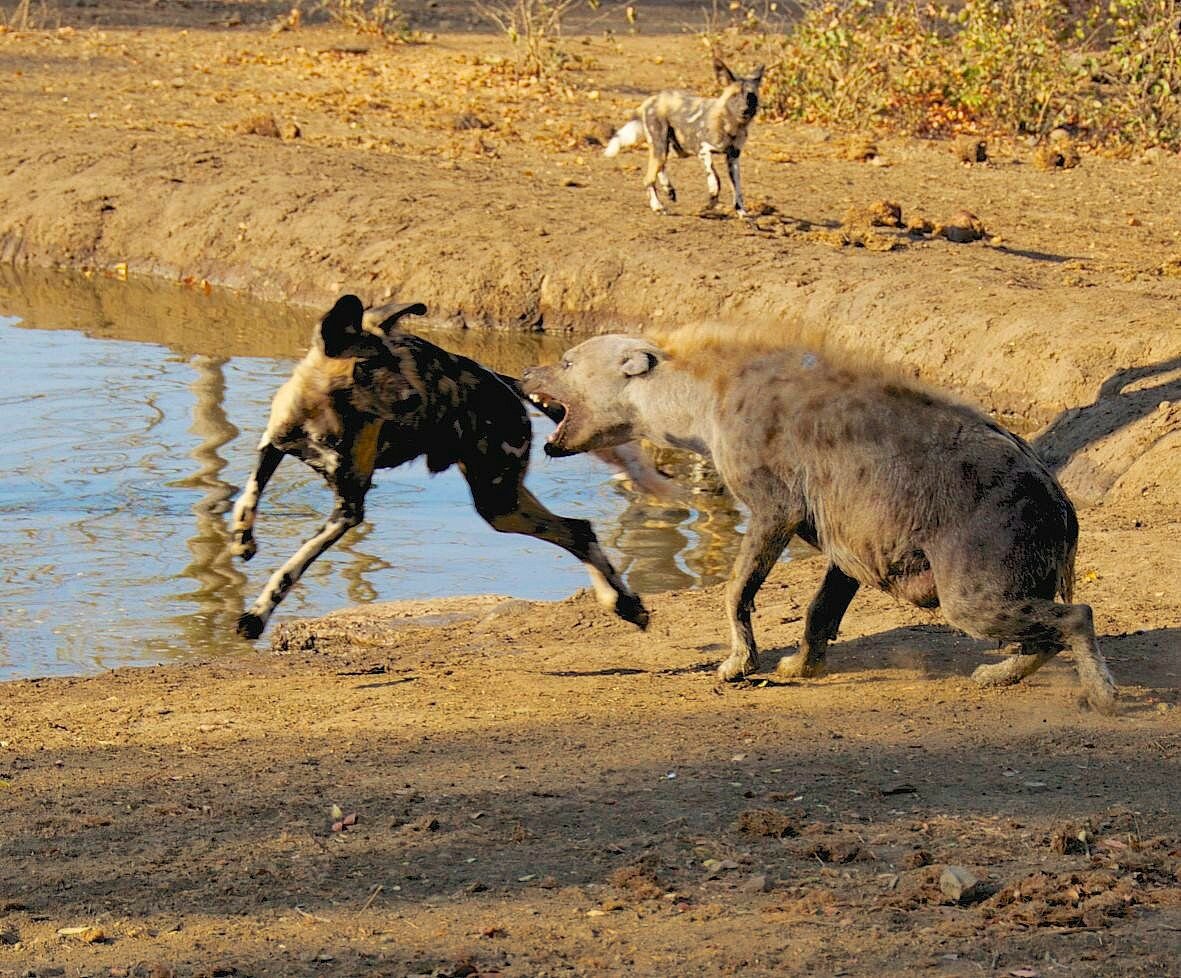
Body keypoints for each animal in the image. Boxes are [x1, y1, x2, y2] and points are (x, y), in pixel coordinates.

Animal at [231, 294, 651, 637]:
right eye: (369, 366)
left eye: (398, 362)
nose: (414, 399)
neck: (323, 419)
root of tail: (506, 381)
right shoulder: (274, 444)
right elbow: (248, 495)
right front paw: (242, 540)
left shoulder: (349, 509)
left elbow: (293, 565)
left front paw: (257, 616)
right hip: (504, 506)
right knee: (578, 531)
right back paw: (626, 607)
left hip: (498, 503)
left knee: (575, 530)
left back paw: (626, 606)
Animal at [524, 326, 1114, 708]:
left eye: (568, 361)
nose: (526, 368)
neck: (702, 402)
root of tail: (1060, 498)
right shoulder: (850, 536)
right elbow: (820, 607)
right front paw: (798, 667)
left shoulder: (774, 503)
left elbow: (736, 588)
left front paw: (737, 665)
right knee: (1041, 630)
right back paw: (996, 674)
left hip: (977, 571)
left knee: (1072, 614)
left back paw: (1100, 695)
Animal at [604, 58, 770, 217]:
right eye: (734, 96)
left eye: (751, 97)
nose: (744, 110)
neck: (731, 126)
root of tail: (651, 99)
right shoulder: (703, 149)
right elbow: (715, 178)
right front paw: (712, 197)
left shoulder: (733, 157)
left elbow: (737, 190)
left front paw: (742, 213)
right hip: (662, 145)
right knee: (648, 178)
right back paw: (657, 206)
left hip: (674, 149)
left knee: (659, 166)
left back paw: (668, 189)